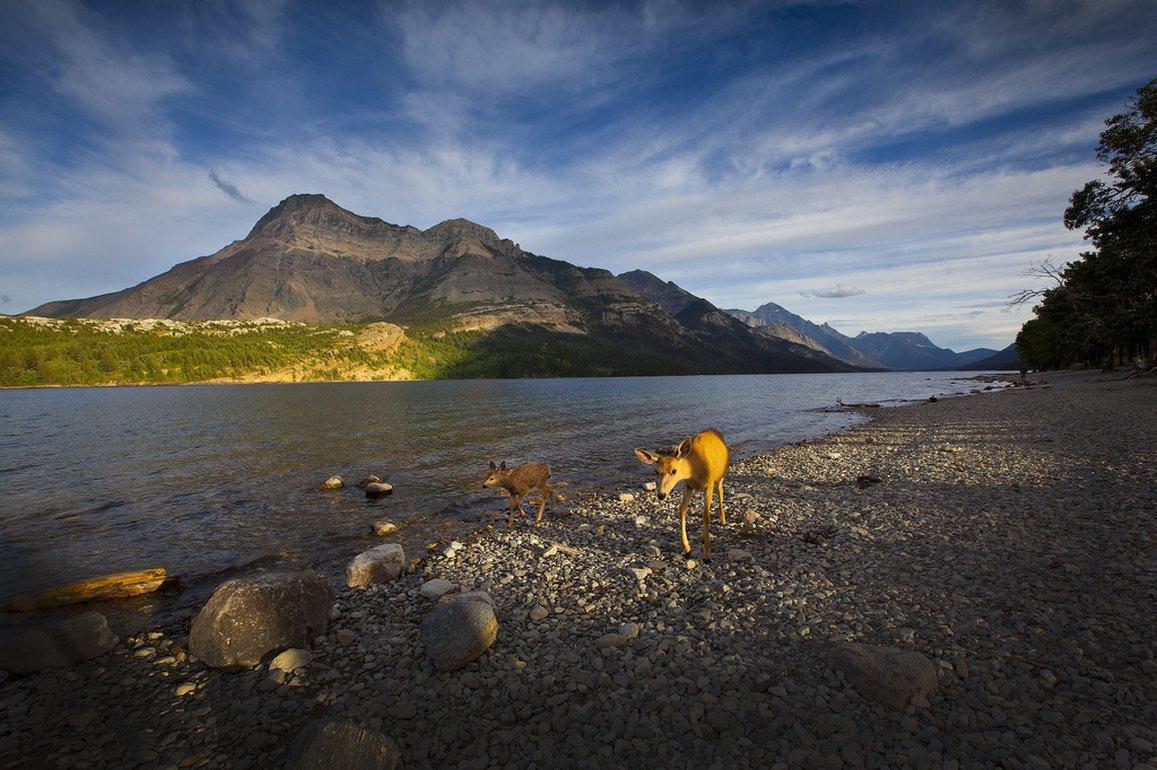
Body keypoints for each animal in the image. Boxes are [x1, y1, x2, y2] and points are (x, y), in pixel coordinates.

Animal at [638, 425, 726, 557]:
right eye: (656, 471)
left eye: (674, 470)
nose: (661, 494)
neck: (694, 469)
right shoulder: (688, 485)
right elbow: (682, 510)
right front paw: (687, 548)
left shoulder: (709, 484)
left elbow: (706, 515)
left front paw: (707, 554)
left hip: (721, 476)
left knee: (720, 490)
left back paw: (722, 519)